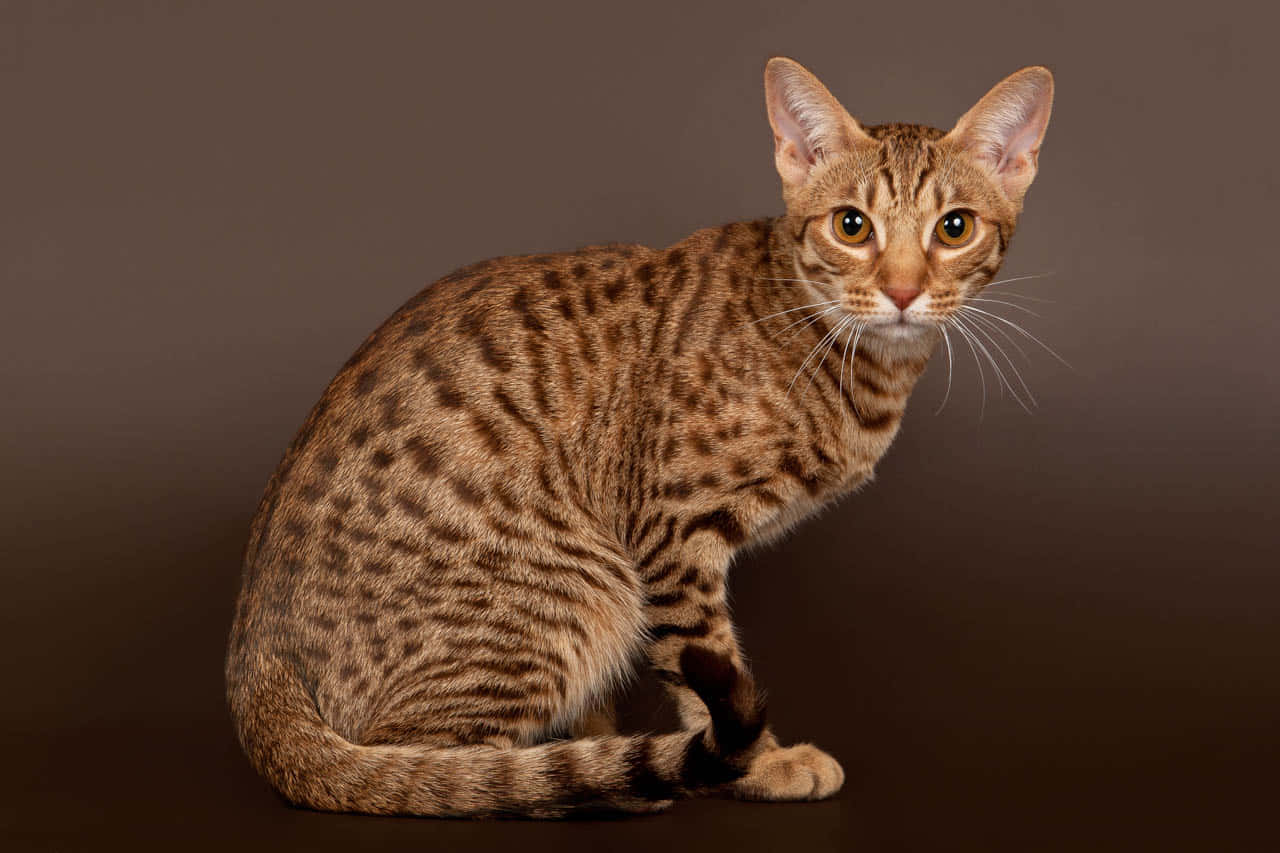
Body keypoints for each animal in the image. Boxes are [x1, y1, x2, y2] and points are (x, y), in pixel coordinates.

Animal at [227, 56, 1049, 814]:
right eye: (852, 225)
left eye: (954, 228)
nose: (903, 290)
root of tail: (254, 669)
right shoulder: (670, 533)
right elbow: (702, 658)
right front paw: (761, 764)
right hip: (579, 586)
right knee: (432, 773)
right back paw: (583, 779)